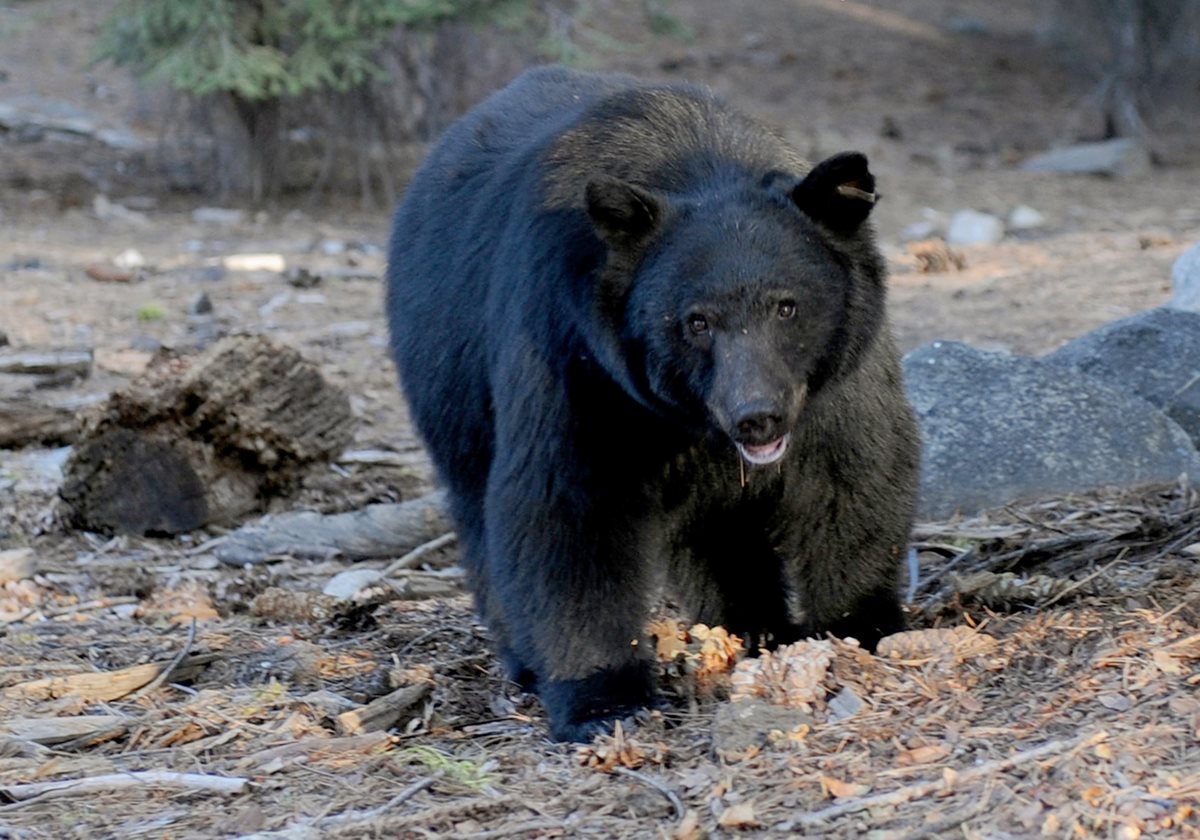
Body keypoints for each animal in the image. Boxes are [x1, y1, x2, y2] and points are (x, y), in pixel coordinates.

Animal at [386, 66, 921, 742]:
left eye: (787, 305)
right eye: (696, 321)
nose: (757, 417)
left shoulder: (836, 381)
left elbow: (852, 476)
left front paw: (860, 628)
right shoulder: (577, 358)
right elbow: (569, 507)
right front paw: (604, 700)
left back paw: (750, 626)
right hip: (449, 379)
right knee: (479, 511)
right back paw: (526, 660)